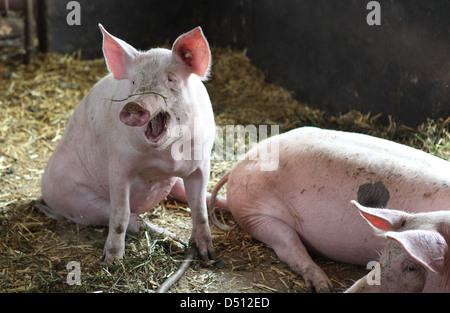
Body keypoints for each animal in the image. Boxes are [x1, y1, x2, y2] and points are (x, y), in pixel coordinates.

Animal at [41, 24, 217, 262]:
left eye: (171, 79)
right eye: (134, 82)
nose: (134, 105)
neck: (164, 159)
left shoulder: (201, 164)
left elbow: (199, 211)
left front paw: (208, 255)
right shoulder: (118, 164)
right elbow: (120, 213)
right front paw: (112, 261)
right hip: (76, 201)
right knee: (134, 219)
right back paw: (173, 239)